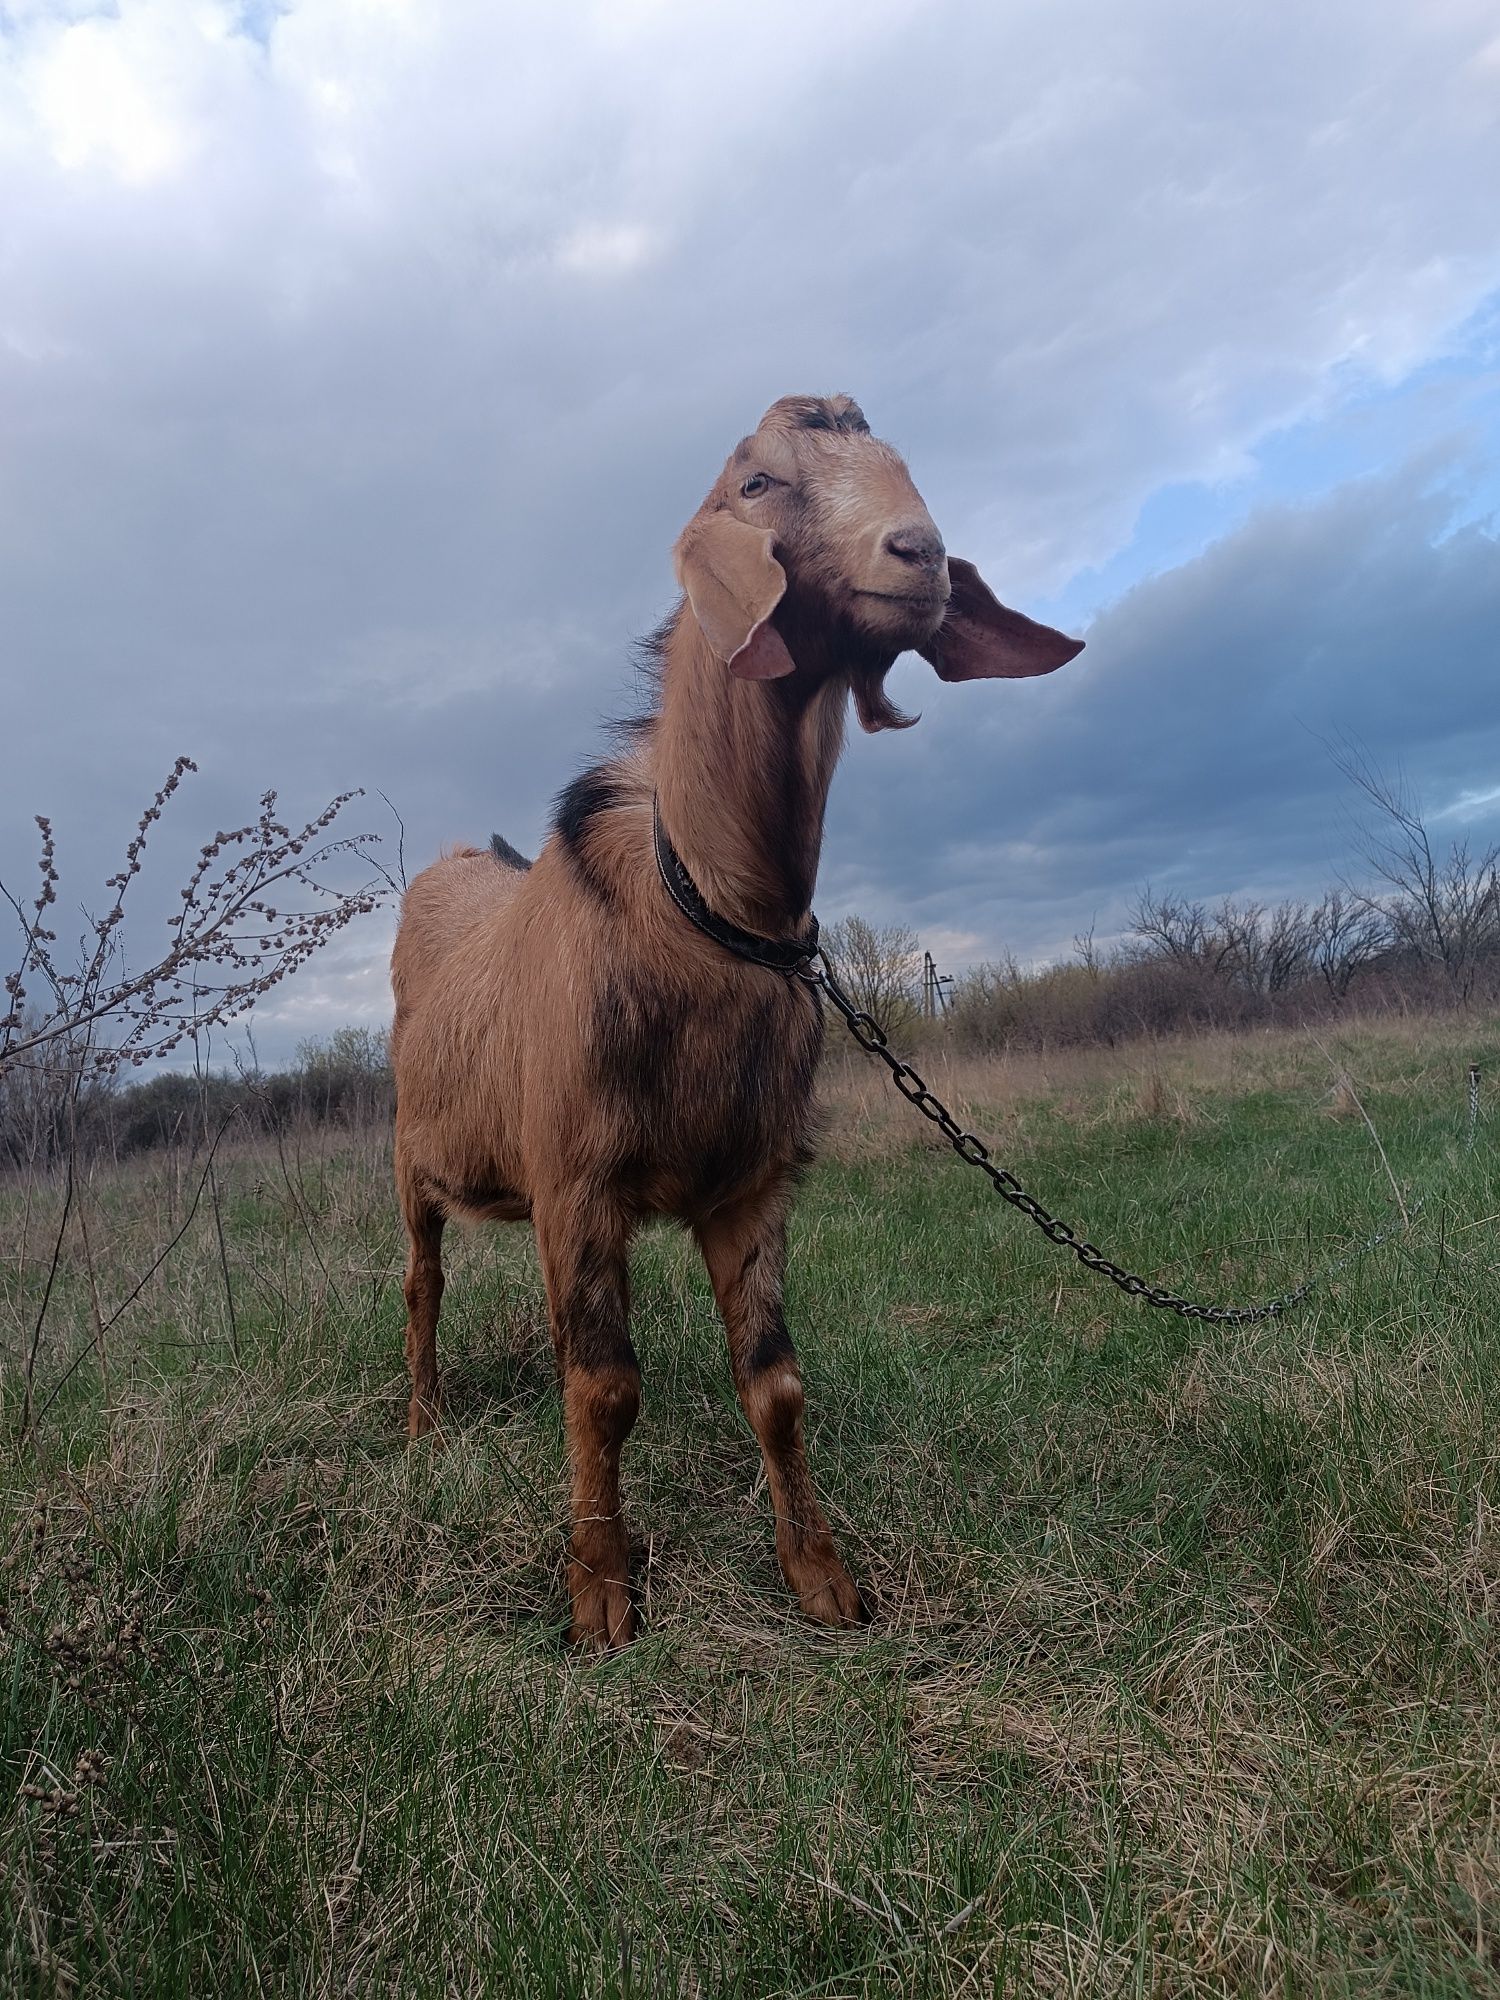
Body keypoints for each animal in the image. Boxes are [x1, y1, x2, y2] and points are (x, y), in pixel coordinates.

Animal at [394, 394, 1088, 1656]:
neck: (705, 910)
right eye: (756, 482)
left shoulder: (752, 1179)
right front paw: (599, 1590)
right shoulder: (577, 1180)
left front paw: (822, 1576)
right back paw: (421, 1421)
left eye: (906, 466)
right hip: (409, 1163)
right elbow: (603, 1385)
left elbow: (774, 1381)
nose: (918, 557)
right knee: (421, 1285)